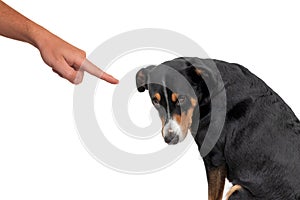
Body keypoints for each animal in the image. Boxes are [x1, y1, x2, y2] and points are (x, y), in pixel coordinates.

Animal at [136, 57, 300, 199]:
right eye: (155, 101)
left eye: (182, 98)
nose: (170, 138)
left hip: (238, 190)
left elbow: (212, 195)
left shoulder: (214, 159)